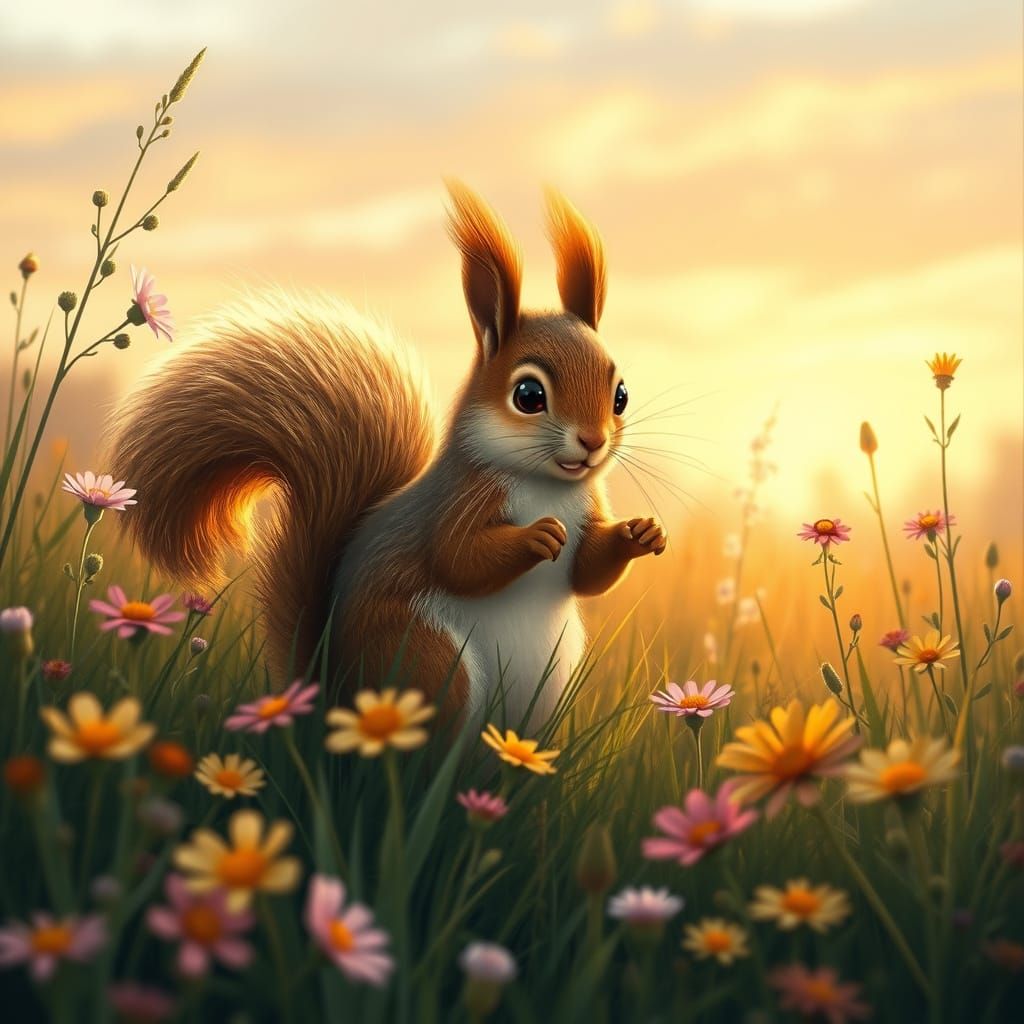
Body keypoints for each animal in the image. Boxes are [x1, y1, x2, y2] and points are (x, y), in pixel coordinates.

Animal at [107, 182, 667, 726]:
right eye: (528, 395)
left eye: (620, 395)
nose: (592, 442)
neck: (546, 483)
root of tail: (332, 701)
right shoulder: (458, 500)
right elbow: (458, 558)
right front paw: (537, 535)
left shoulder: (588, 511)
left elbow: (588, 573)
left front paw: (642, 533)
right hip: (427, 657)